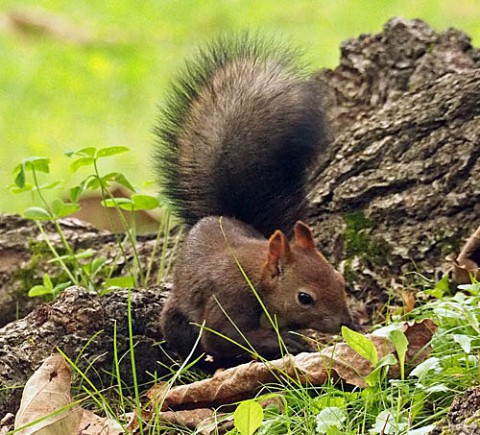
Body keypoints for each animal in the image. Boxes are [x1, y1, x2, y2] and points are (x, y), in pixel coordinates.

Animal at [156, 35, 354, 368]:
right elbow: (223, 338)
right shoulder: (227, 302)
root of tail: (221, 216)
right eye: (305, 298)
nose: (347, 324)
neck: (257, 277)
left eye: (340, 279)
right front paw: (285, 341)